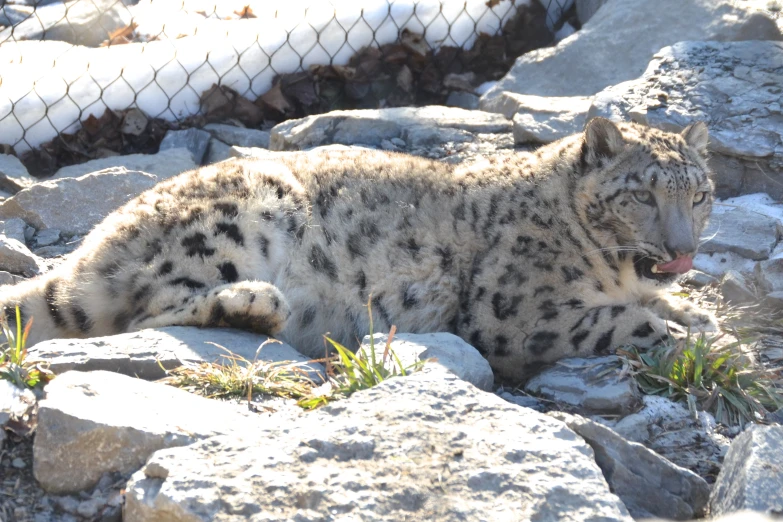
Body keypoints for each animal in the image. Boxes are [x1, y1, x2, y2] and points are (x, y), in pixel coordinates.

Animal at [0, 117, 716, 378]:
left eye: (701, 195)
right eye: (640, 195)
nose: (681, 249)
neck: (615, 270)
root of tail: (97, 242)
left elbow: (666, 308)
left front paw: (700, 316)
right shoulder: (517, 312)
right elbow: (627, 321)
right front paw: (690, 338)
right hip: (236, 218)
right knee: (145, 310)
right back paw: (256, 303)